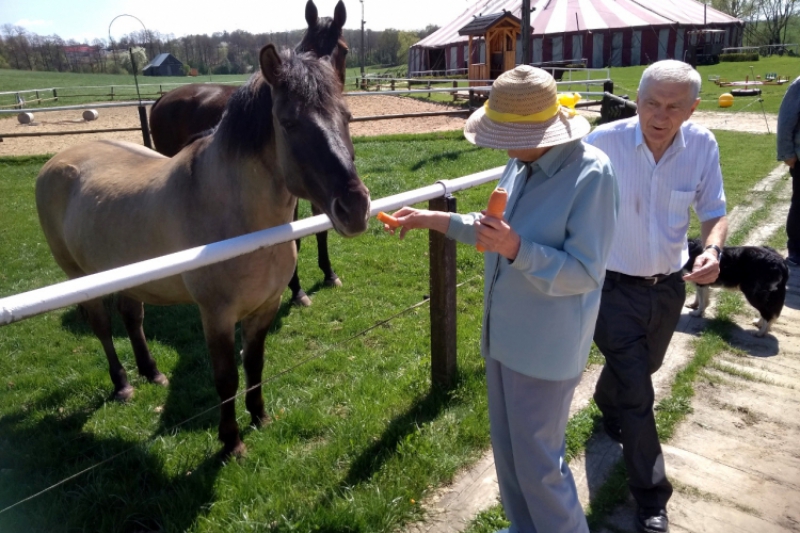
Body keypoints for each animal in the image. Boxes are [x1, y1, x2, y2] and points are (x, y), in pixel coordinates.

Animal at [36, 44, 370, 458]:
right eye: (289, 122)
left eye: (348, 116)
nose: (354, 208)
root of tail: (54, 163)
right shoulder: (216, 315)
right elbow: (226, 378)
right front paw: (231, 442)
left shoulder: (265, 307)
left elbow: (255, 365)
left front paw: (260, 417)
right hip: (81, 278)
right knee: (103, 328)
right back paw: (123, 384)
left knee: (132, 318)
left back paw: (152, 372)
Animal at [151, 1, 350, 308]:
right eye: (306, 48)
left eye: (343, 49)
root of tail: (162, 99)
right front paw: (296, 289)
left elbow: (321, 228)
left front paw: (329, 273)